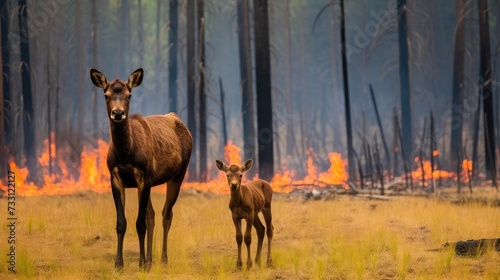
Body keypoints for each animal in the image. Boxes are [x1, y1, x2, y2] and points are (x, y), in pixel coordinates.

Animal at [89, 68, 192, 270]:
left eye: (129, 95)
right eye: (106, 95)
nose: (118, 113)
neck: (125, 156)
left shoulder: (143, 178)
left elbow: (140, 223)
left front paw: (141, 264)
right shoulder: (116, 178)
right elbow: (122, 223)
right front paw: (119, 263)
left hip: (178, 174)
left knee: (166, 214)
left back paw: (162, 259)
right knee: (152, 215)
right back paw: (151, 259)